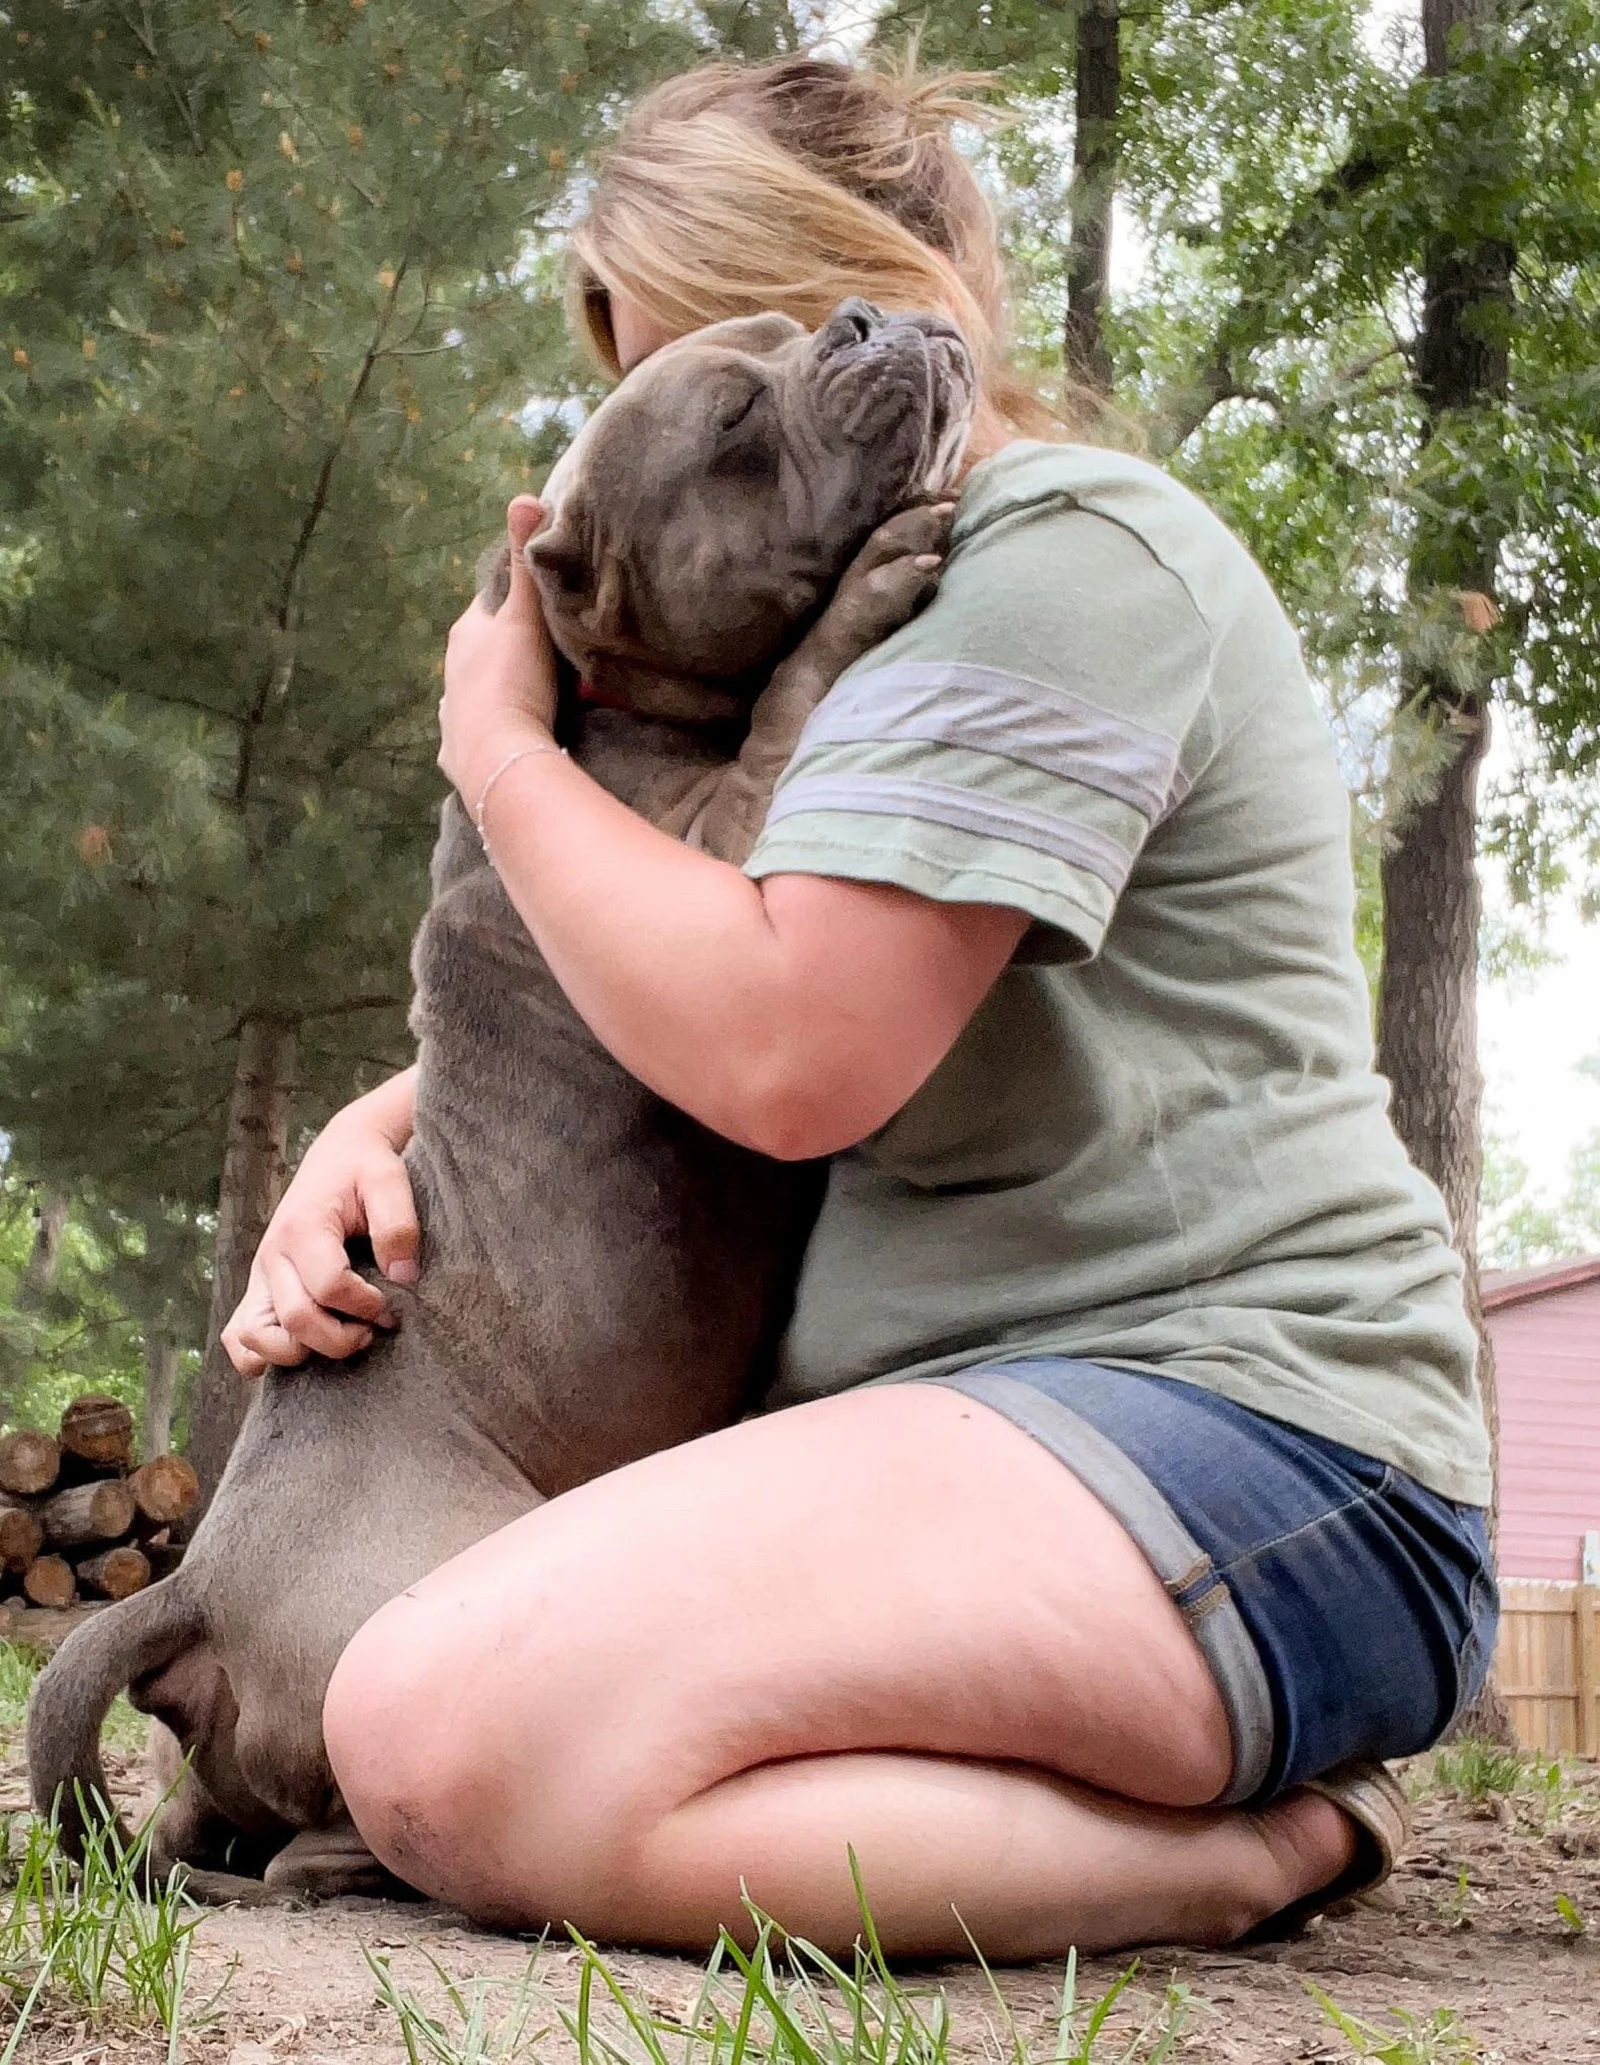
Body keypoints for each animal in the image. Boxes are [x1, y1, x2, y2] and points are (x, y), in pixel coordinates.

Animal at [28, 301, 974, 1899]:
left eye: (796, 330)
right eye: (735, 424)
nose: (866, 315)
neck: (609, 711)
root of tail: (196, 1580)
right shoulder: (712, 868)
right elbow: (792, 701)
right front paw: (868, 592)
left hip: (214, 1746)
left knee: (207, 1813)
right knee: (327, 1830)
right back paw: (348, 1865)